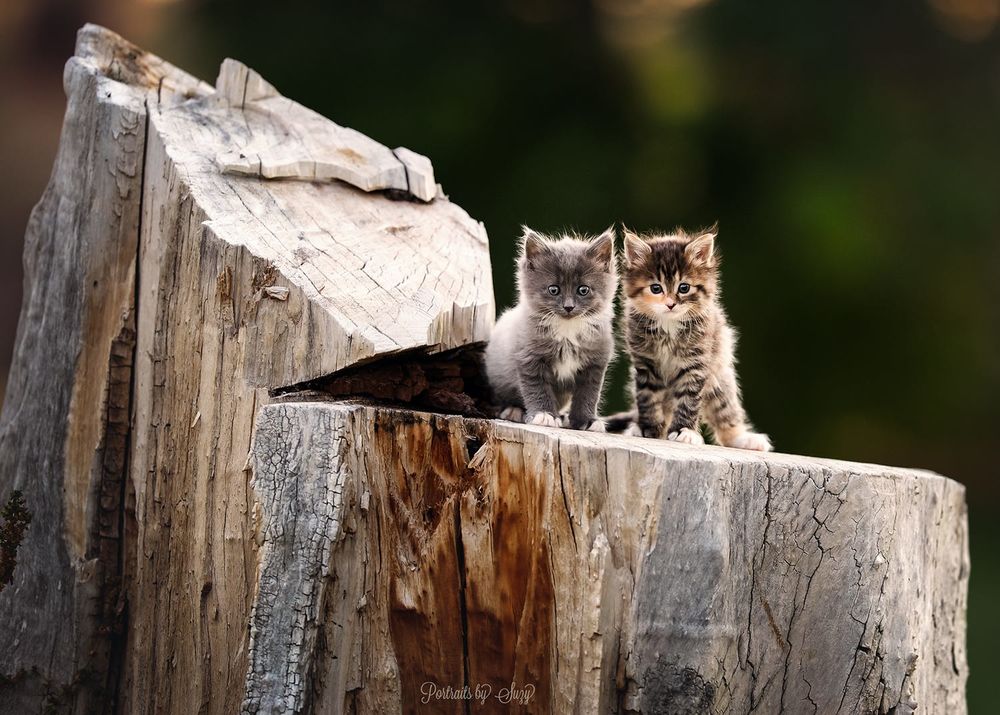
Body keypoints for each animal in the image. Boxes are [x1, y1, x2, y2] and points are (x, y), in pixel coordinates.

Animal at [484, 228, 616, 430]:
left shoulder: (595, 363)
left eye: (583, 290)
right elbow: (537, 389)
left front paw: (587, 421)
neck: (567, 330)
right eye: (554, 290)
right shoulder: (529, 357)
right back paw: (514, 411)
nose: (568, 307)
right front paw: (544, 415)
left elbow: (588, 394)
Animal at [616, 227, 772, 450]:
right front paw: (648, 428)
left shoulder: (696, 364)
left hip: (719, 381)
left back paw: (745, 439)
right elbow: (647, 398)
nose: (670, 304)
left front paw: (684, 431)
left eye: (684, 288)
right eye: (656, 288)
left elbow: (688, 400)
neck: (669, 325)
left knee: (726, 417)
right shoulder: (645, 364)